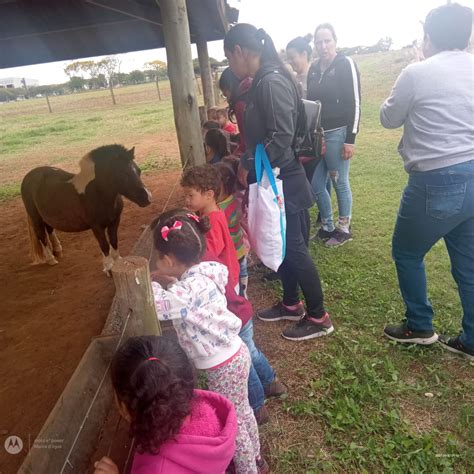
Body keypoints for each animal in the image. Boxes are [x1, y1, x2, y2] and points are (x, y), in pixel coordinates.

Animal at [21, 143, 152, 272]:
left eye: (138, 170)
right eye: (123, 173)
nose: (148, 198)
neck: (97, 192)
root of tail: (29, 176)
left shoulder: (114, 221)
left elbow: (114, 240)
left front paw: (118, 261)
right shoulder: (96, 227)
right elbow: (104, 245)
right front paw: (108, 267)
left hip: (47, 216)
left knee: (49, 229)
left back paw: (57, 249)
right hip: (36, 217)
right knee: (40, 235)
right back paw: (51, 259)